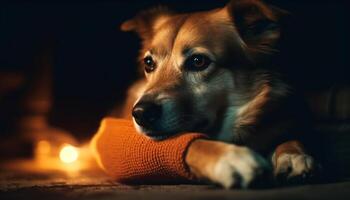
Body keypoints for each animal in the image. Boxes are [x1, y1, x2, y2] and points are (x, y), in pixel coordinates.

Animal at [118, 0, 318, 188]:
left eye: (198, 61)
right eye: (148, 63)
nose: (141, 113)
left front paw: (293, 155)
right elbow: (193, 142)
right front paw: (230, 157)